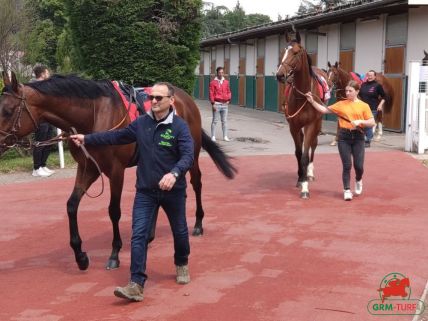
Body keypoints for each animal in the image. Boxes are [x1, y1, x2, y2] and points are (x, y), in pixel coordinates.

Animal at [0, 72, 237, 270]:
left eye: (7, 111)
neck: (94, 115)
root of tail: (185, 98)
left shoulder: (116, 171)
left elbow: (113, 210)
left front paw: (114, 253)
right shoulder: (87, 168)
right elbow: (71, 205)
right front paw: (80, 255)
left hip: (191, 153)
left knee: (196, 183)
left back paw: (197, 224)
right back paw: (149, 235)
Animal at [276, 31, 330, 198]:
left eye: (295, 52)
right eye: (283, 51)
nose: (280, 75)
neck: (303, 96)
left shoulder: (311, 124)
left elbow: (305, 155)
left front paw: (305, 186)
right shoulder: (293, 126)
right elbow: (298, 153)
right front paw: (300, 178)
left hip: (317, 123)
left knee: (313, 144)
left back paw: (310, 174)